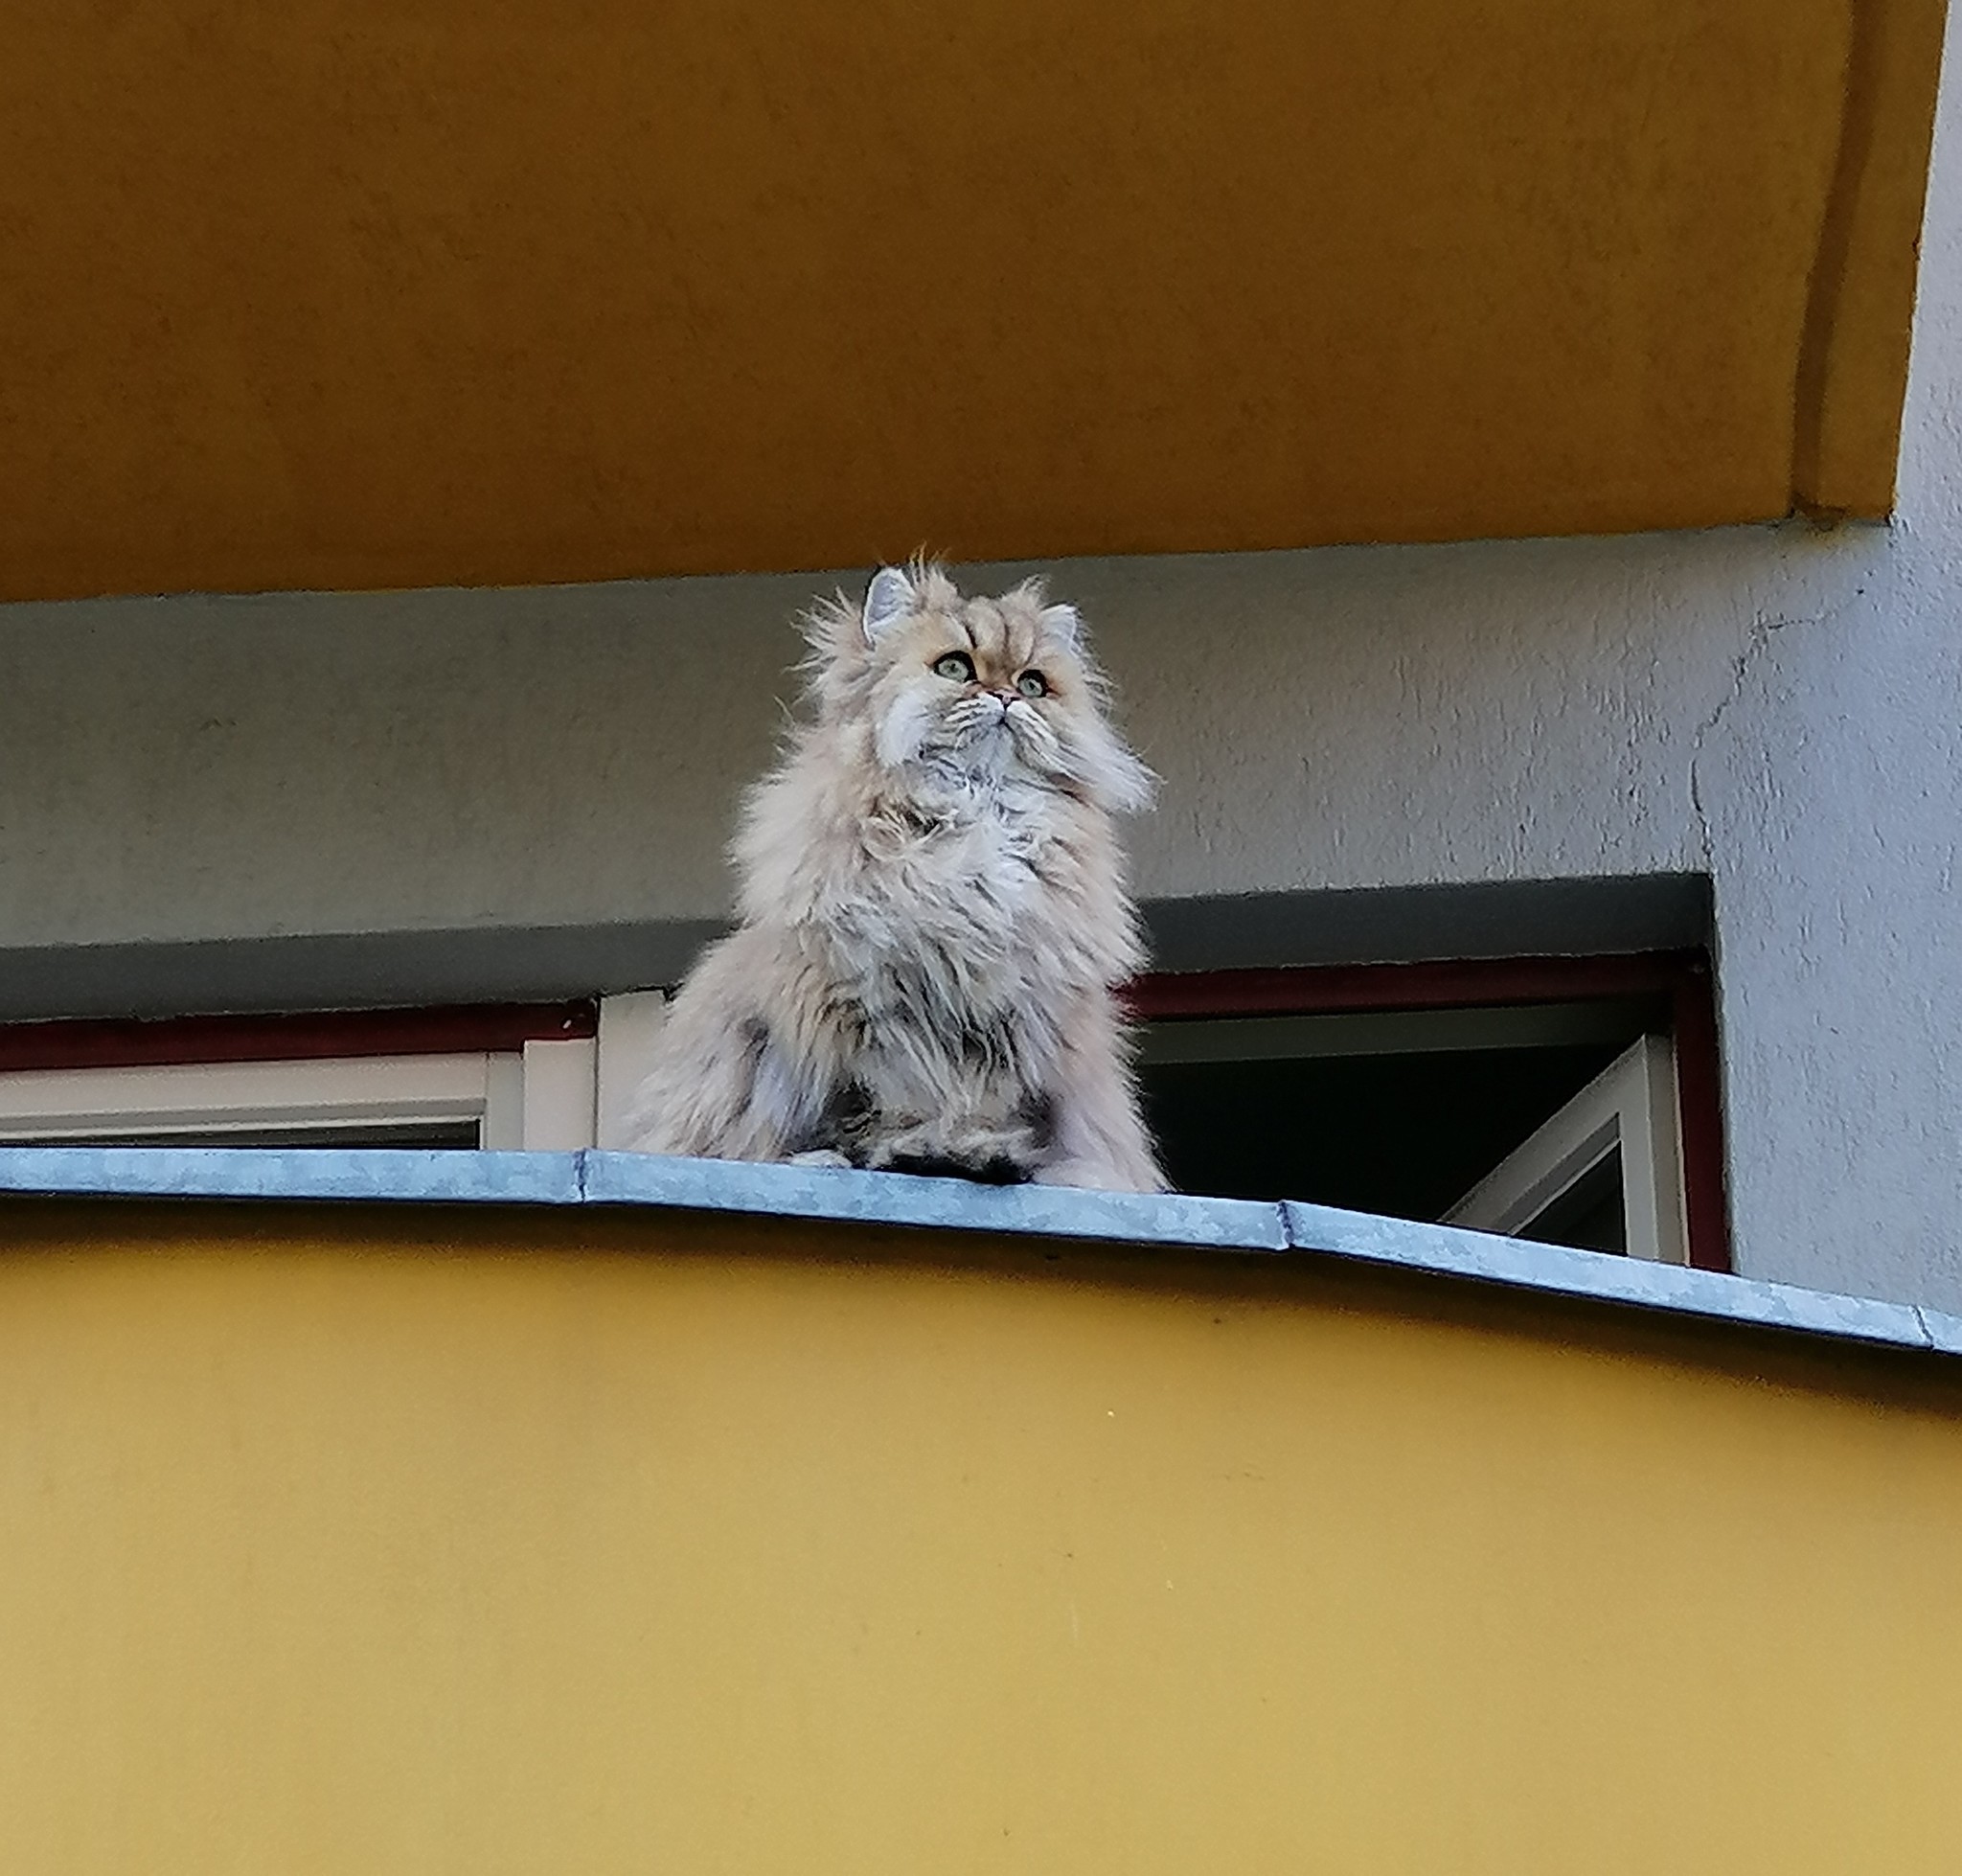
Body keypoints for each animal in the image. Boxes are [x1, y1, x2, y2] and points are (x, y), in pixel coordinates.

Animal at [627, 564, 1161, 1193]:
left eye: (1033, 685)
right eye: (955, 668)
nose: (1005, 697)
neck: (977, 816)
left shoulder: (1012, 1023)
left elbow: (985, 1109)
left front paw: (979, 1154)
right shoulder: (869, 1017)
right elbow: (888, 1110)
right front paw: (923, 1151)